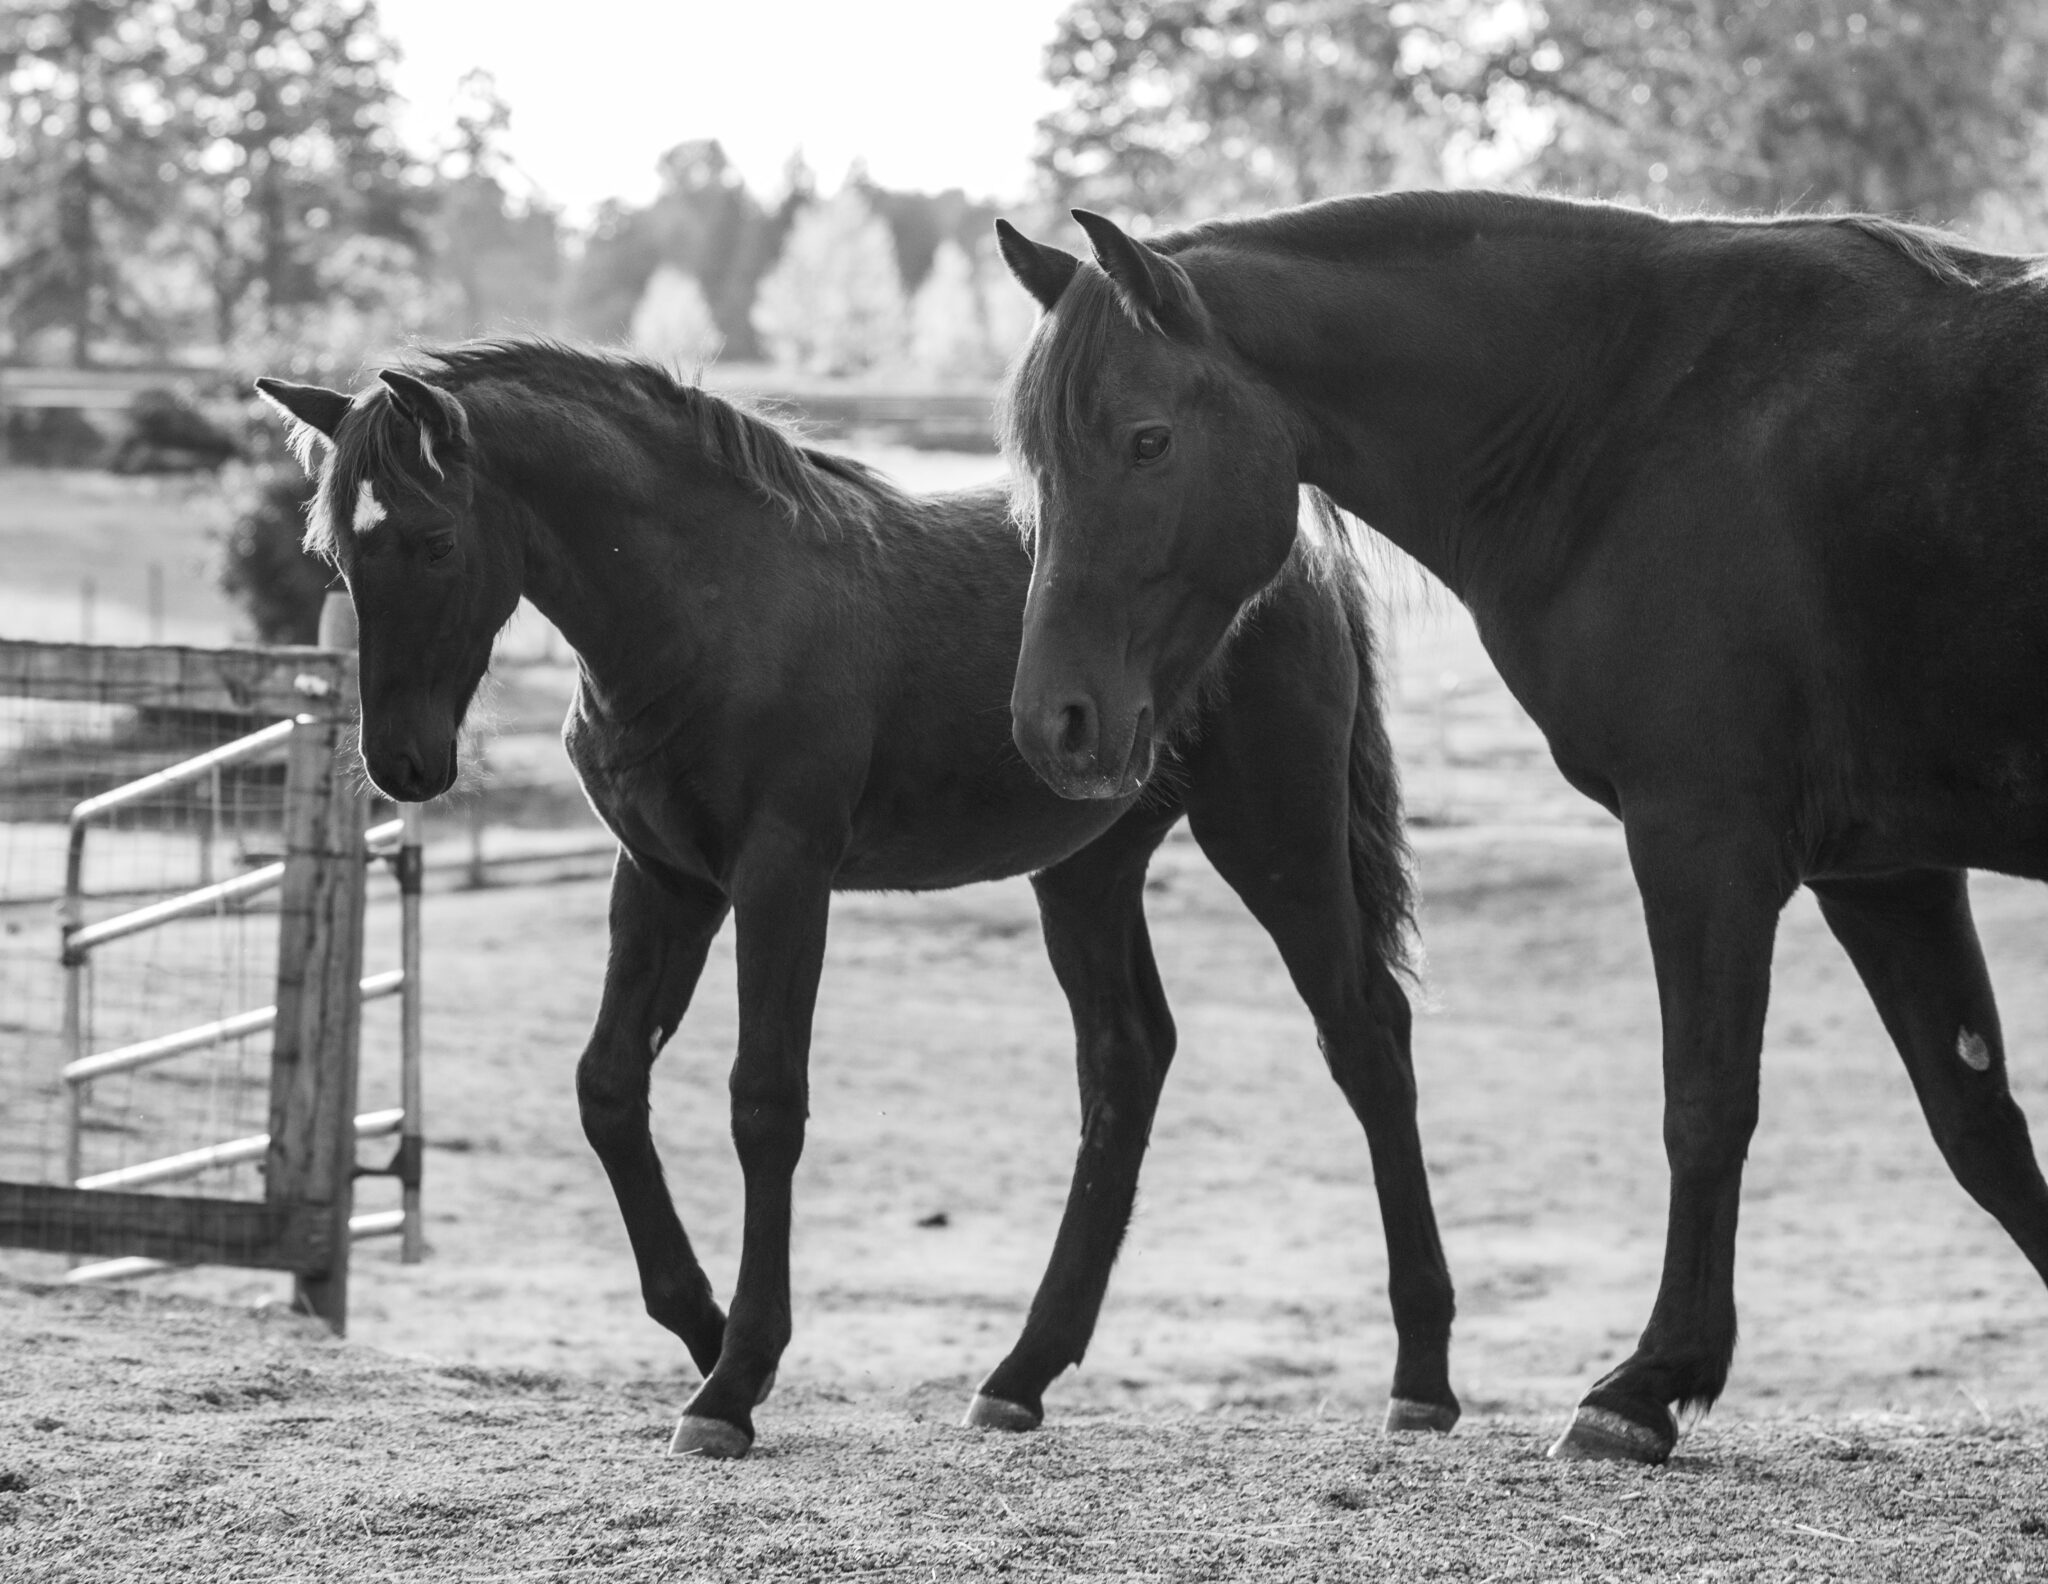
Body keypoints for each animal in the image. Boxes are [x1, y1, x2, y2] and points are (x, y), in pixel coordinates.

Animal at [256, 342, 1466, 1459]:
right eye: (335, 554)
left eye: (434, 541)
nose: (403, 764)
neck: (707, 601)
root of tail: (1301, 559)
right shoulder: (662, 878)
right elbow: (606, 1088)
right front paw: (703, 1329)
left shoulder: (782, 876)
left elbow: (763, 1103)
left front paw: (734, 1384)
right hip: (1085, 868)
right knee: (1127, 1061)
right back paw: (1018, 1378)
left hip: (1273, 833)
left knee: (1364, 1034)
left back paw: (1421, 1381)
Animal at [999, 191, 2048, 1467]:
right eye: (1037, 464)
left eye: (1146, 441)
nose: (1053, 721)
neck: (1625, 415)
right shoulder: (1885, 872)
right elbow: (1978, 1125)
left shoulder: (1702, 838)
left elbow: (1703, 1101)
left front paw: (1643, 1386)